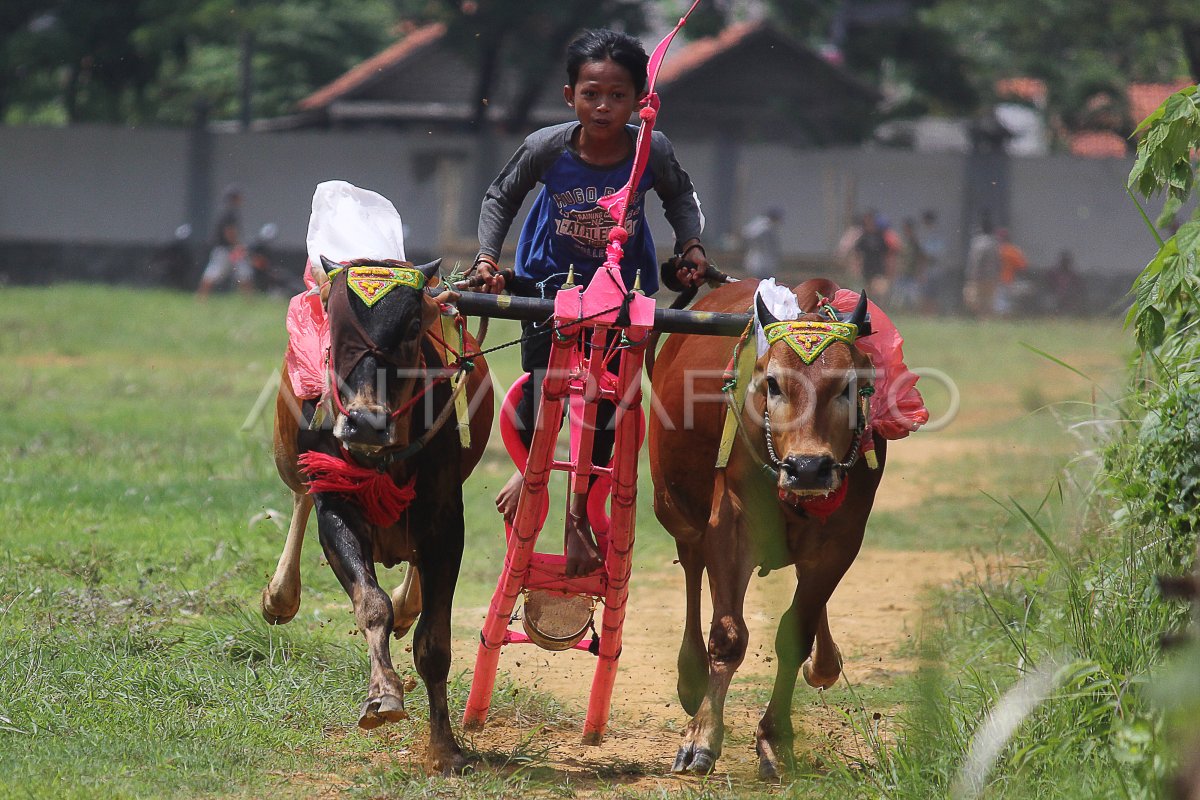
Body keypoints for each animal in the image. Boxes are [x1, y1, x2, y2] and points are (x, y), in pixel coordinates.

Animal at [260, 257, 489, 777]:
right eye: (336, 325)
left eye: (411, 327)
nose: (365, 422)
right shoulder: (337, 508)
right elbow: (371, 604)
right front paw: (382, 694)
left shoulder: (446, 520)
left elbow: (434, 642)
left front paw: (444, 747)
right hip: (291, 460)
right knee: (299, 497)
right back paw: (280, 595)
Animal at [652, 278, 888, 777]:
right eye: (773, 383)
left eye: (848, 386)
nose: (808, 468)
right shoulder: (730, 522)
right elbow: (727, 635)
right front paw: (700, 738)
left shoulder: (842, 539)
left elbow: (793, 634)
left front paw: (775, 739)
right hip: (675, 509)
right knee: (692, 567)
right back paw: (690, 676)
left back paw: (825, 661)